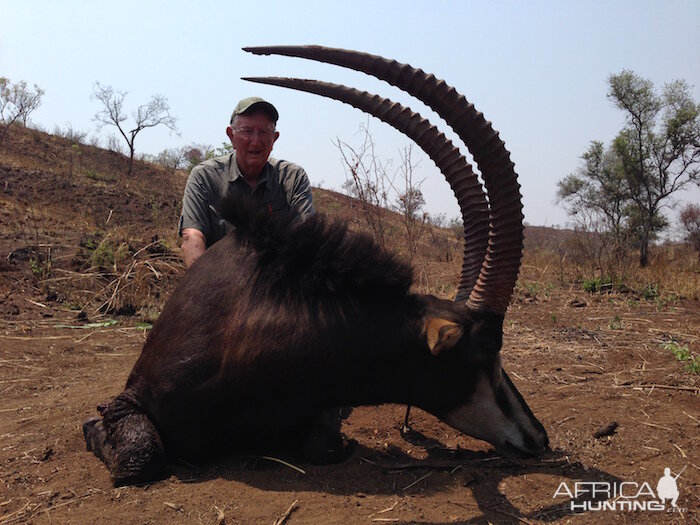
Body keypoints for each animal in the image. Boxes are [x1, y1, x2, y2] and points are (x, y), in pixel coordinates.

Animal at [85, 47, 548, 486]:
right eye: (485, 347)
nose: (537, 437)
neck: (242, 335)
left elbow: (323, 445)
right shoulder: (132, 401)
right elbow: (137, 456)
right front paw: (97, 430)